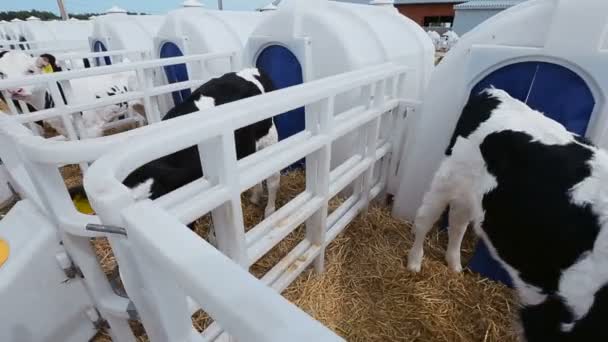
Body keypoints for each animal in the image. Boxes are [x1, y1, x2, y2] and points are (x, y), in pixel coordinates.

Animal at [406, 89, 608, 342]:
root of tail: (494, 92)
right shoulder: (554, 315)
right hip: (447, 178)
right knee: (425, 219)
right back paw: (414, 262)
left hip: (470, 195)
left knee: (457, 223)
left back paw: (454, 265)